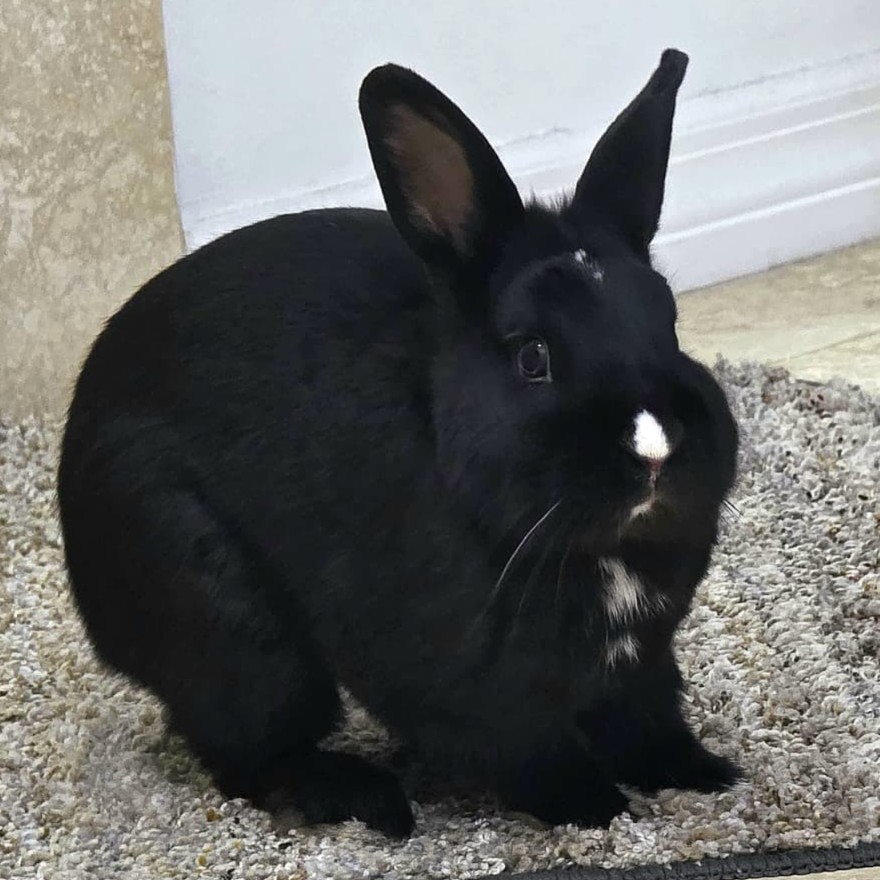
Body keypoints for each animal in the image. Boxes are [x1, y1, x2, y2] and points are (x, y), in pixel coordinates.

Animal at [57, 48, 741, 838]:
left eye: (668, 321)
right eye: (532, 356)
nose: (655, 449)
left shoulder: (639, 664)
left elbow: (647, 721)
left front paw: (705, 774)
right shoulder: (466, 685)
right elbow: (528, 748)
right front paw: (595, 808)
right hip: (232, 629)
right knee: (250, 752)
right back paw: (366, 799)